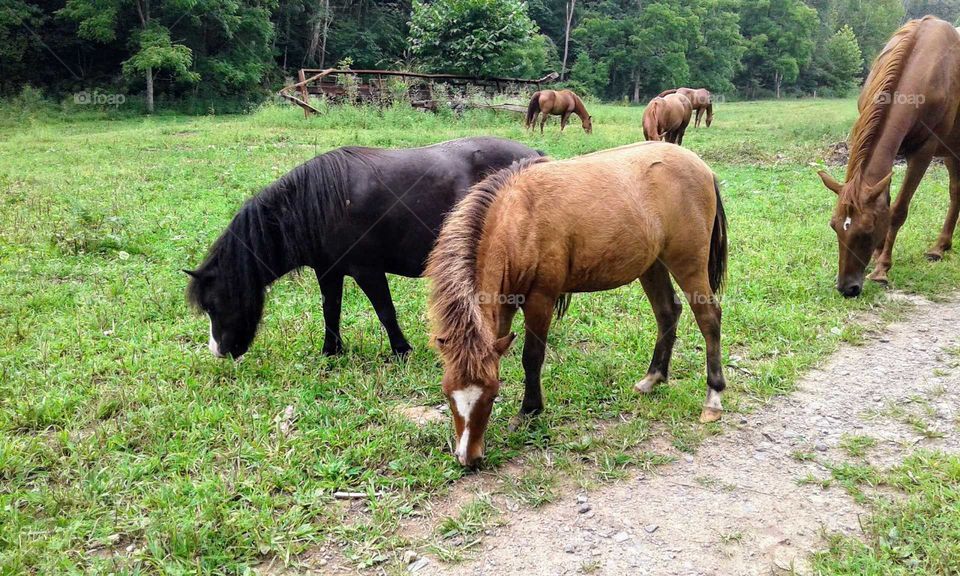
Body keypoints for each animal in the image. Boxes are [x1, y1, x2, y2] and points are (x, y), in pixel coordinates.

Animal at [185, 137, 544, 358]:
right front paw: (330, 351)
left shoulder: (367, 270)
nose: (219, 351)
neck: (319, 204)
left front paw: (401, 350)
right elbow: (331, 309)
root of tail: (537, 156)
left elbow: (385, 311)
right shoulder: (328, 271)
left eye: (214, 304)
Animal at [428, 143, 728, 468]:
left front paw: (529, 410)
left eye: (491, 395)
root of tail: (701, 167)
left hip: (688, 263)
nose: (468, 457)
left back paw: (713, 397)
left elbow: (531, 357)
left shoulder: (541, 299)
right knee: (668, 311)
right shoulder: (505, 302)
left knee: (709, 317)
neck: (519, 219)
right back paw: (653, 378)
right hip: (652, 265)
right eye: (448, 393)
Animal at [812, 16, 960, 296]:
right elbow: (886, 203)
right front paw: (879, 256)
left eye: (867, 230)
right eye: (833, 225)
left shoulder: (923, 153)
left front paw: (882, 268)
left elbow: (898, 210)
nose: (847, 288)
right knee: (956, 191)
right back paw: (940, 247)